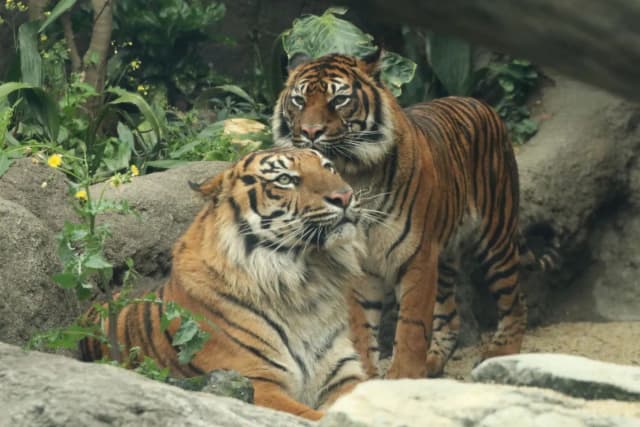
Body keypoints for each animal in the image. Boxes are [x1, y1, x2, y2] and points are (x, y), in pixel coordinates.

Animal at [79, 147, 367, 420]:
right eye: (285, 179)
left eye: (328, 167)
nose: (345, 196)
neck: (306, 283)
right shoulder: (254, 381)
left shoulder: (343, 376)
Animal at [272, 51, 555, 379]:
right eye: (299, 100)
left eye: (339, 99)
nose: (310, 132)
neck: (352, 173)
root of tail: (480, 102)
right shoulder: (361, 262)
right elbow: (360, 326)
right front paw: (367, 375)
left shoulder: (417, 255)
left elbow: (411, 324)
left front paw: (403, 375)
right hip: (444, 255)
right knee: (450, 316)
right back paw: (433, 363)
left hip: (495, 236)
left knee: (515, 301)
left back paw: (500, 354)